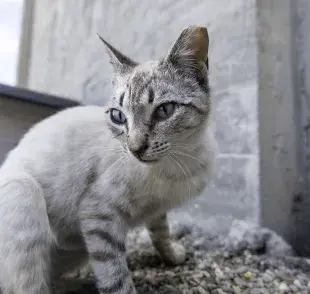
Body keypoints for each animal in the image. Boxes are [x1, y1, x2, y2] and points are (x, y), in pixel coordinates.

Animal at [0, 25, 216, 294]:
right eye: (118, 116)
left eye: (164, 111)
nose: (135, 149)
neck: (178, 162)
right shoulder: (100, 217)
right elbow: (115, 278)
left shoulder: (157, 209)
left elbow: (161, 233)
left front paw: (172, 256)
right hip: (24, 191)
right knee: (29, 285)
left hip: (77, 251)